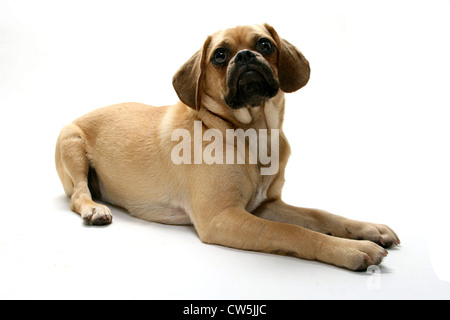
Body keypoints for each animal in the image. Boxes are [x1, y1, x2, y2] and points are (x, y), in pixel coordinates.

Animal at [54, 23, 400, 272]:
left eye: (265, 45)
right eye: (220, 55)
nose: (245, 56)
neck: (251, 132)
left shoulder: (265, 205)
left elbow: (319, 215)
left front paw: (367, 229)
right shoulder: (223, 217)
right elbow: (292, 232)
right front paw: (351, 249)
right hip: (72, 145)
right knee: (78, 195)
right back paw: (95, 209)